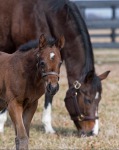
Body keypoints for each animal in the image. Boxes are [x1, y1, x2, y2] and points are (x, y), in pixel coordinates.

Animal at [0, 0, 110, 136]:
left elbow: (49, 94)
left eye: (99, 99)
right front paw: (1, 124)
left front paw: (48, 127)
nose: (92, 132)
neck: (44, 13)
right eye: (87, 100)